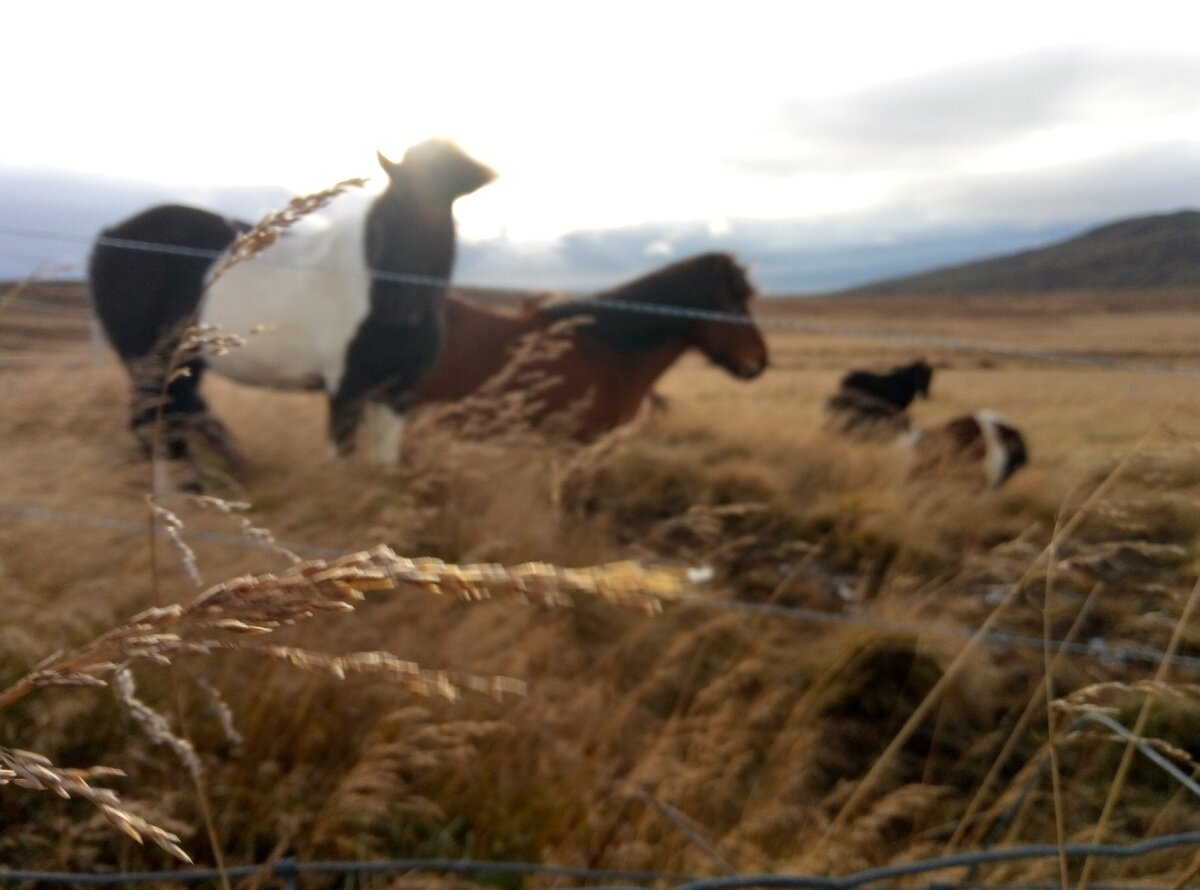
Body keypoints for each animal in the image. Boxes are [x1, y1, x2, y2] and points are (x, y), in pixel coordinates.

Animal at [87, 139, 492, 467]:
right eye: (395, 206)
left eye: (442, 206)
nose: (400, 306)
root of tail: (111, 233)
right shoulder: (346, 387)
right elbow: (342, 462)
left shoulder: (398, 392)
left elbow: (383, 465)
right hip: (148, 355)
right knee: (154, 417)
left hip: (184, 360)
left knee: (177, 412)